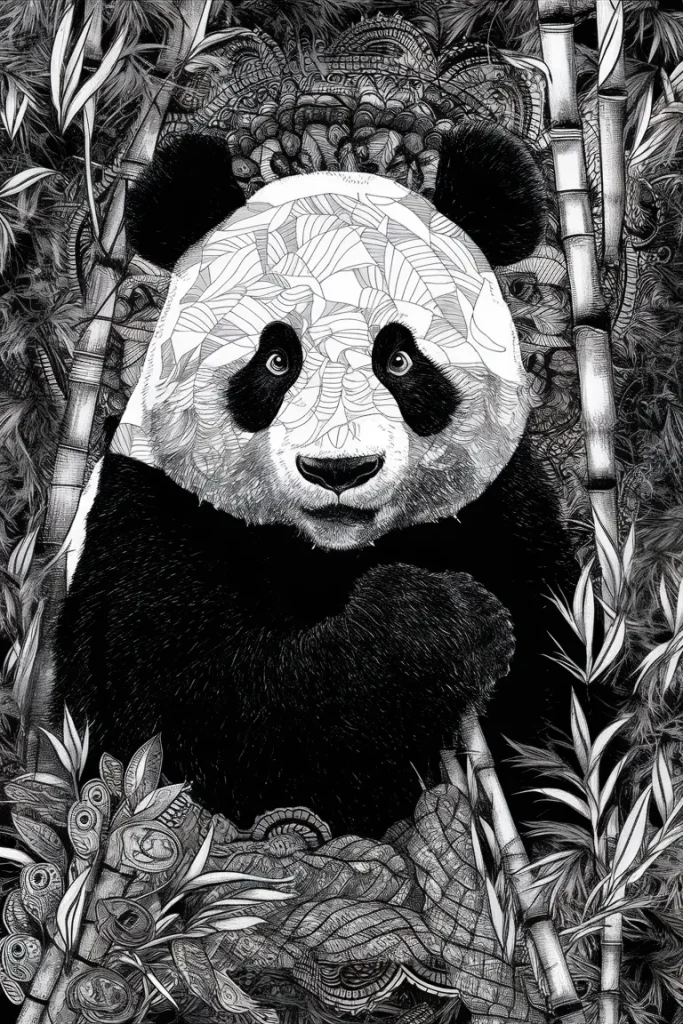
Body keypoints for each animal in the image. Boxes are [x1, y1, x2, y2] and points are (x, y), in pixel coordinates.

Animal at [53, 123, 577, 839]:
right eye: (277, 360)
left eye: (399, 359)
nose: (339, 470)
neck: (333, 551)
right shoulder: (152, 512)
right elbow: (181, 725)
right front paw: (446, 620)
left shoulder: (505, 511)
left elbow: (555, 699)